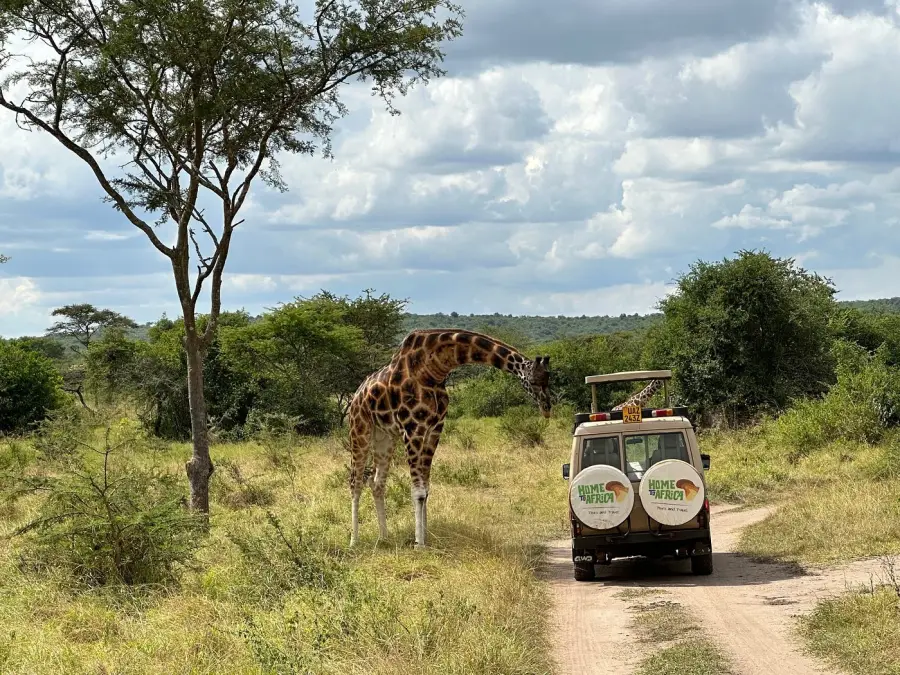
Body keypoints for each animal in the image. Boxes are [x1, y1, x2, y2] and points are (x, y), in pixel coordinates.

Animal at [346, 329, 552, 549]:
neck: (433, 371)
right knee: (355, 481)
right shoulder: (412, 428)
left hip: (385, 437)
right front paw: (419, 545)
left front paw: (426, 538)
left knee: (377, 483)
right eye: (533, 381)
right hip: (360, 429)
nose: (547, 408)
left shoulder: (435, 428)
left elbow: (426, 489)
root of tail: (356, 394)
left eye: (549, 379)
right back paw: (354, 541)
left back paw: (384, 537)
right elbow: (417, 490)